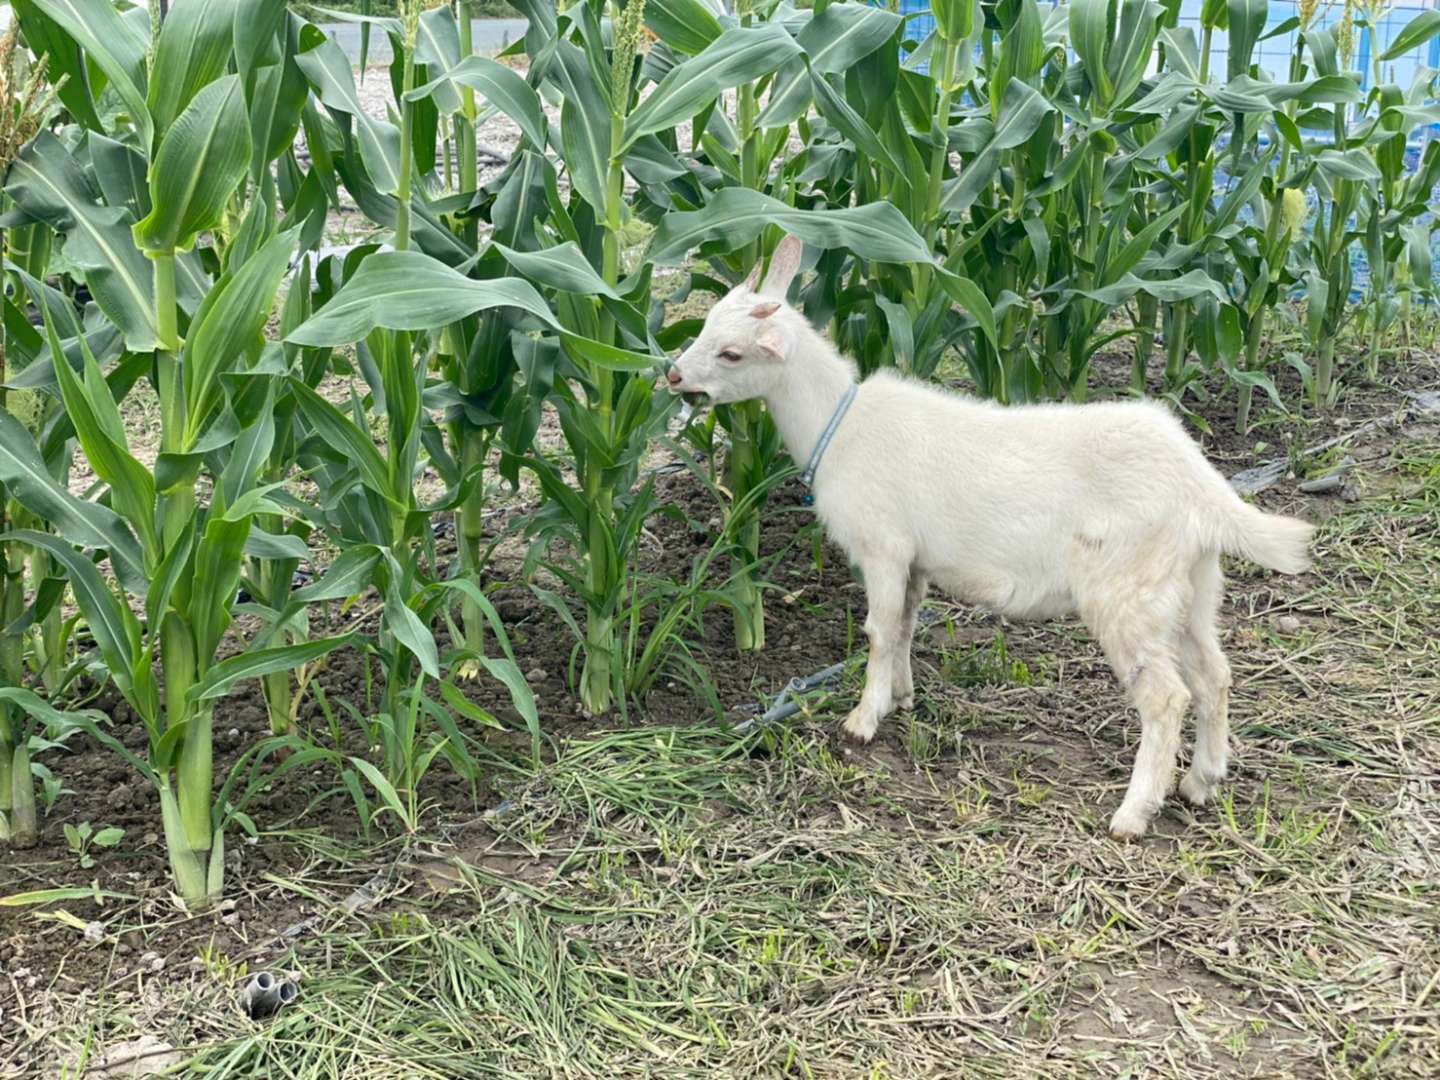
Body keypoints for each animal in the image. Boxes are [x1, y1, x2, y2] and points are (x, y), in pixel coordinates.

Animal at [668, 236, 1313, 846]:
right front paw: (902, 696)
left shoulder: (883, 546)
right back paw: (1202, 781)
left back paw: (1133, 814)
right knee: (1214, 674)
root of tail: (1200, 485)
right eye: (705, 324)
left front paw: (862, 719)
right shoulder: (915, 559)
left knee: (1165, 697)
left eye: (732, 353)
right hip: (1191, 586)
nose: (673, 375)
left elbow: (878, 630)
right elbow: (905, 625)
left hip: (1126, 591)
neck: (839, 422)